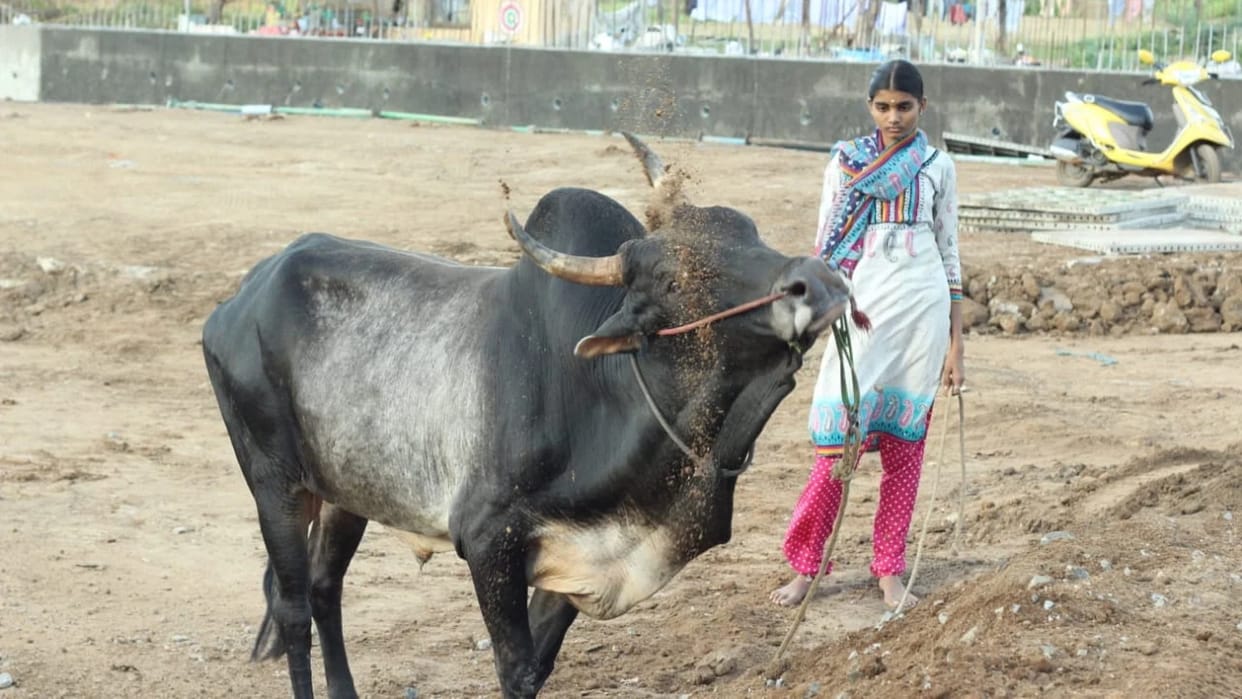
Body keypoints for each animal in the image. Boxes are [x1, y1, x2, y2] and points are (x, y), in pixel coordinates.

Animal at [202, 133, 851, 699]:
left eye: (750, 229)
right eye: (673, 279)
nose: (818, 282)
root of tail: (242, 295)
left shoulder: (578, 563)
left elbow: (539, 667)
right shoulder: (489, 542)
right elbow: (515, 671)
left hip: (346, 492)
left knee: (323, 588)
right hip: (274, 483)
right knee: (292, 611)